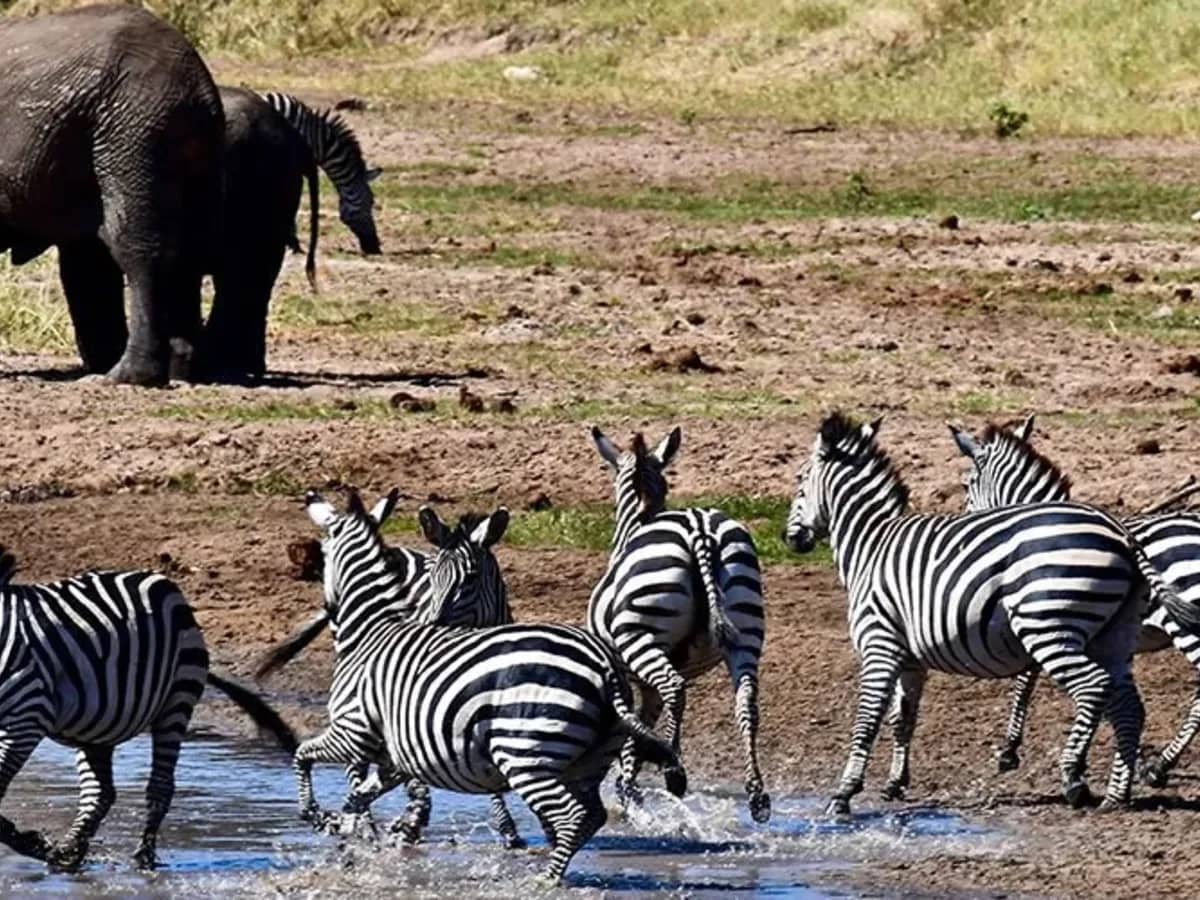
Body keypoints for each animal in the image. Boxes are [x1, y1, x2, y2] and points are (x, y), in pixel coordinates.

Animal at [0, 5, 224, 385]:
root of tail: (198, 84)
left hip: (131, 127)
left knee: (131, 244)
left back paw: (125, 375)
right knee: (185, 245)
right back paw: (180, 371)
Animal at [0, 551, 296, 871]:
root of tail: (157, 580)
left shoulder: (27, 716)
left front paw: (31, 842)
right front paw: (34, 843)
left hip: (177, 698)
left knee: (160, 786)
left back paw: (142, 859)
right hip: (96, 725)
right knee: (99, 793)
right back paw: (67, 853)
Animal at [293, 490, 686, 883]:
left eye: (323, 556)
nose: (324, 610)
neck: (371, 628)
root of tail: (603, 664)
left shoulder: (352, 733)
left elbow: (303, 756)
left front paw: (320, 817)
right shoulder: (396, 758)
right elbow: (360, 795)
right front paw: (351, 829)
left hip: (526, 754)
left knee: (572, 816)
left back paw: (544, 881)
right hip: (587, 761)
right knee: (590, 815)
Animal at [588, 426, 769, 823]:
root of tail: (698, 528)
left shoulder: (623, 672)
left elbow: (633, 728)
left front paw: (629, 789)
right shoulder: (644, 685)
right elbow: (642, 726)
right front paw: (631, 785)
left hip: (641, 635)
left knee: (675, 687)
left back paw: (674, 770)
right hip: (746, 627)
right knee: (746, 700)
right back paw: (756, 794)